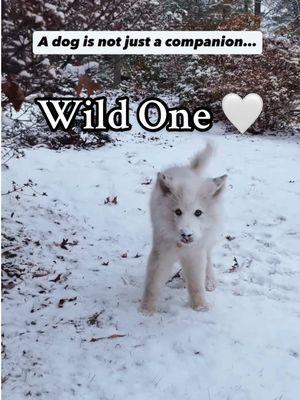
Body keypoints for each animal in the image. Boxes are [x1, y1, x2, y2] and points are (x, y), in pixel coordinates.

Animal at [141, 142, 227, 314]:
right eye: (178, 212)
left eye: (198, 212)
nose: (186, 234)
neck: (181, 247)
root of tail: (188, 169)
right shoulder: (161, 253)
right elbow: (153, 283)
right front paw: (146, 310)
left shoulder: (196, 254)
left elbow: (196, 284)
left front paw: (200, 307)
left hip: (208, 239)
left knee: (208, 258)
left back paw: (210, 281)